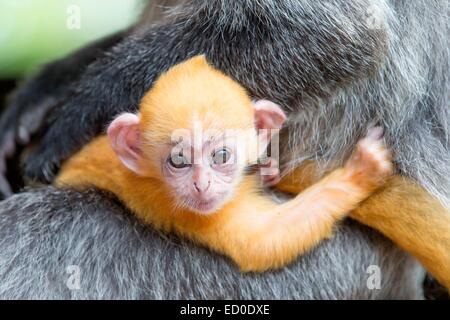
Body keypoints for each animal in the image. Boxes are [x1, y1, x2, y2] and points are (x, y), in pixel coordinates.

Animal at [57, 56, 394, 272]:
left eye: (220, 156)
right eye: (178, 160)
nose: (201, 184)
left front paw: (266, 170)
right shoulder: (179, 207)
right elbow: (262, 242)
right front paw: (361, 171)